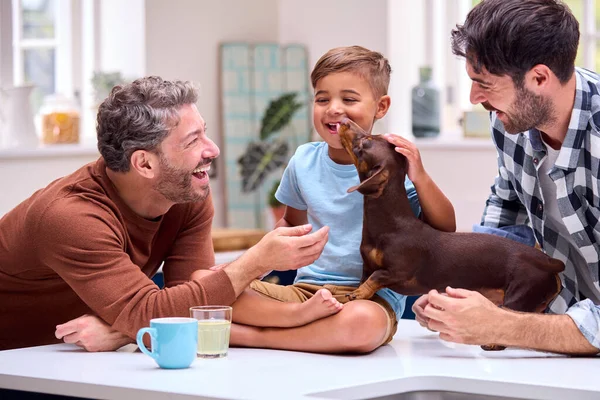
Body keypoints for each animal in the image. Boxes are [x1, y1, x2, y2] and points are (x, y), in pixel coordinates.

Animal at [340, 119, 564, 350]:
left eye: (366, 141)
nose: (345, 121)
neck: (392, 224)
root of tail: (549, 262)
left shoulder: (397, 272)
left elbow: (376, 277)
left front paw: (358, 293)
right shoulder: (367, 266)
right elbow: (366, 279)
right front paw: (357, 293)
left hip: (520, 295)